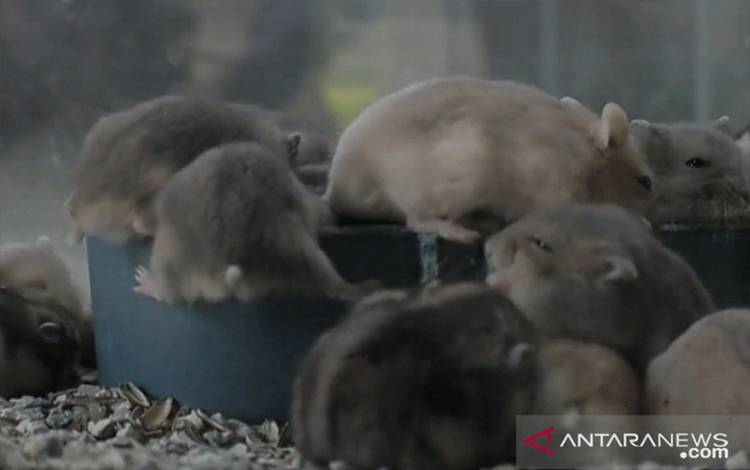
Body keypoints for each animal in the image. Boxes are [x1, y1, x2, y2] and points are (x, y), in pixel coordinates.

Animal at [325, 76, 653, 243]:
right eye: (646, 182)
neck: (582, 157)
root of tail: (334, 190)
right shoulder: (556, 189)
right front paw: (642, 222)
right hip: (451, 182)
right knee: (417, 219)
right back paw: (463, 232)